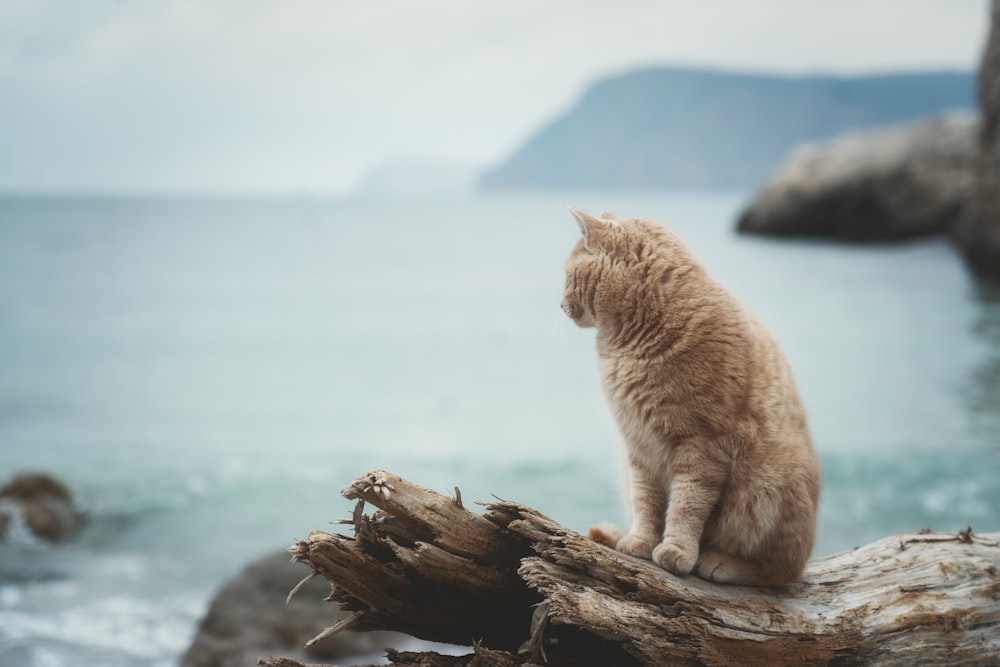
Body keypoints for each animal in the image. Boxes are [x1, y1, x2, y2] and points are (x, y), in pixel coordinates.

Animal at [564, 210, 820, 588]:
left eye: (567, 276)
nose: (560, 304)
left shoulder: (703, 446)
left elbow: (687, 505)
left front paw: (676, 550)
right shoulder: (638, 448)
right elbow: (646, 502)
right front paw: (640, 540)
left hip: (769, 488)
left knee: (781, 571)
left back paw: (722, 563)